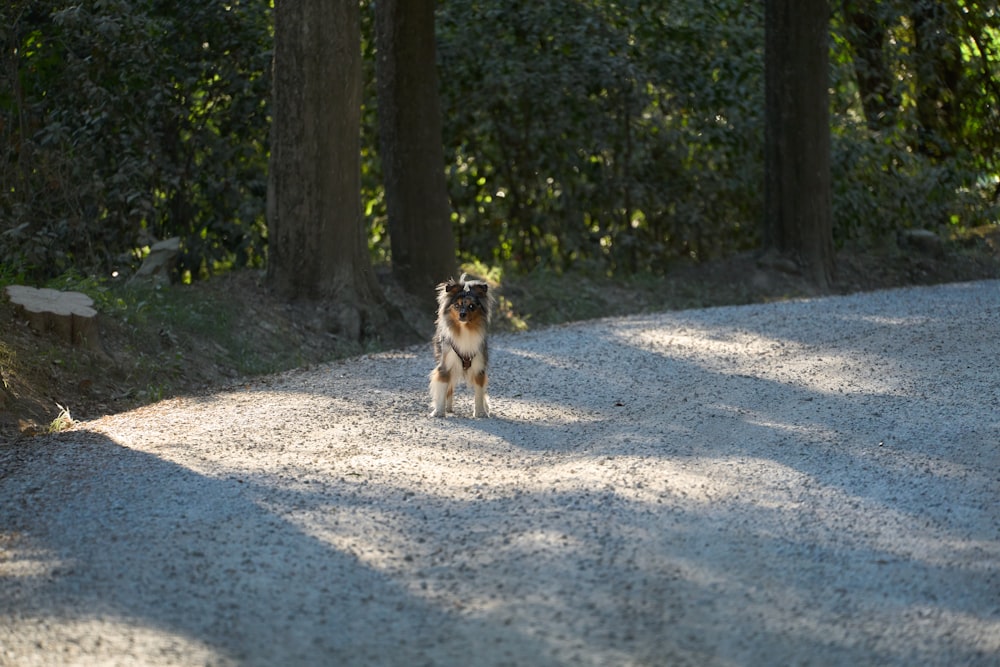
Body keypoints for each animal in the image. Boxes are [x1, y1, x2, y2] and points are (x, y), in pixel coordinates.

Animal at [430, 272, 492, 418]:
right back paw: (448, 408)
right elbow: (442, 389)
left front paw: (481, 412)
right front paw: (439, 411)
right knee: (450, 388)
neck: (465, 330)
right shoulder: (445, 366)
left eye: (472, 306)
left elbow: (479, 393)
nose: (462, 314)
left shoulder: (479, 368)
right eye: (457, 305)